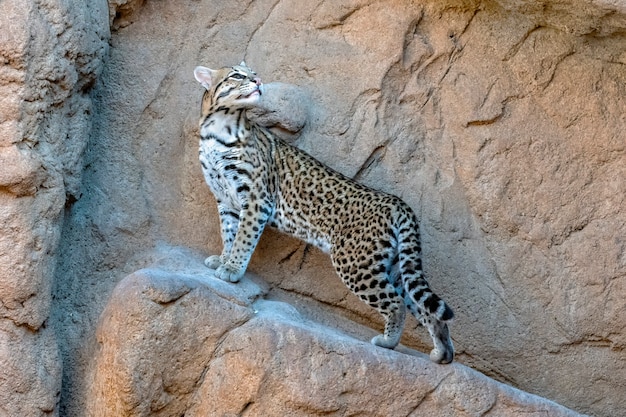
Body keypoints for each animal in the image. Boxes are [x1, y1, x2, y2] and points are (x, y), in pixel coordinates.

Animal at [191, 62, 454, 364]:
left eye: (252, 72)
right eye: (237, 75)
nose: (258, 81)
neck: (218, 128)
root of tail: (398, 202)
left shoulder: (257, 198)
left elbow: (243, 238)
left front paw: (232, 269)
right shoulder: (226, 200)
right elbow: (229, 233)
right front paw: (224, 259)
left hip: (355, 263)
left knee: (396, 303)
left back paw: (388, 342)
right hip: (395, 266)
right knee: (426, 309)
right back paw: (442, 353)